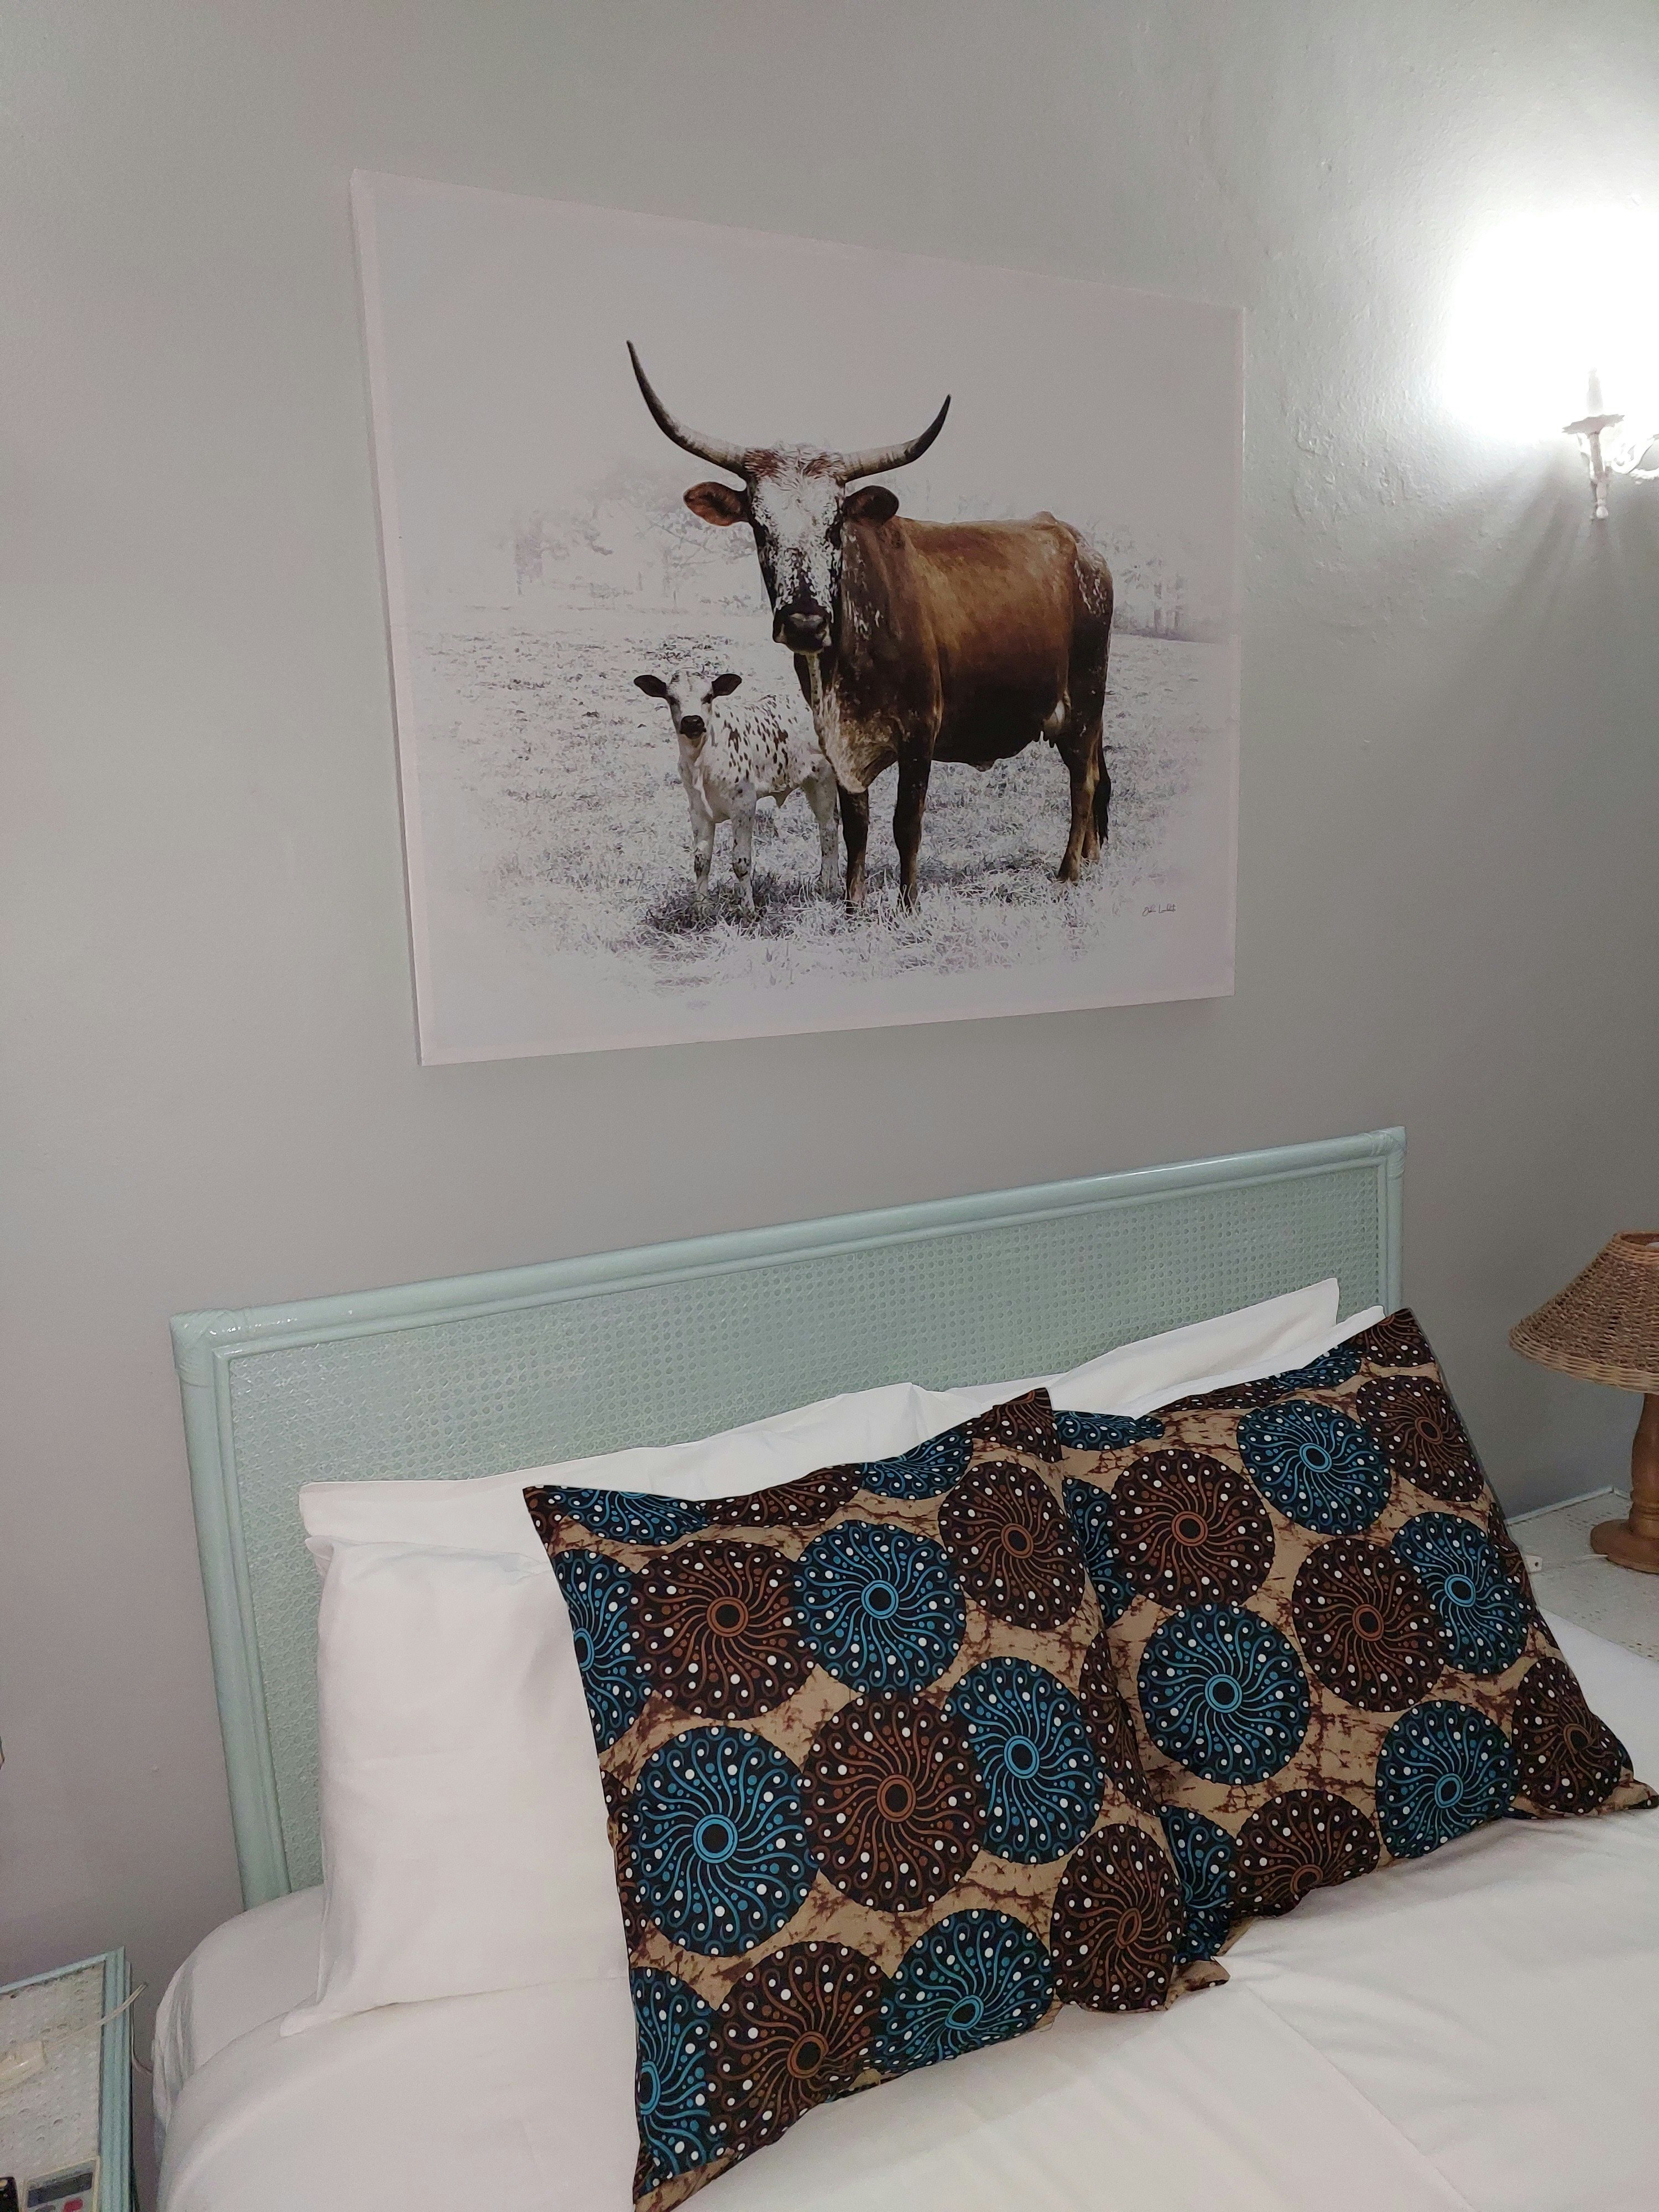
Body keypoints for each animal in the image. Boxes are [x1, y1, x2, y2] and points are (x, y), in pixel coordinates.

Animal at [633, 666, 841, 917]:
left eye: (708, 697)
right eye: (672, 699)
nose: (692, 722)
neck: (703, 759)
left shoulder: (744, 805)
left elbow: (741, 862)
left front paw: (747, 910)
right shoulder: (698, 810)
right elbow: (701, 862)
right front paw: (702, 909)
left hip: (824, 779)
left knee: (828, 829)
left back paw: (828, 885)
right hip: (811, 782)